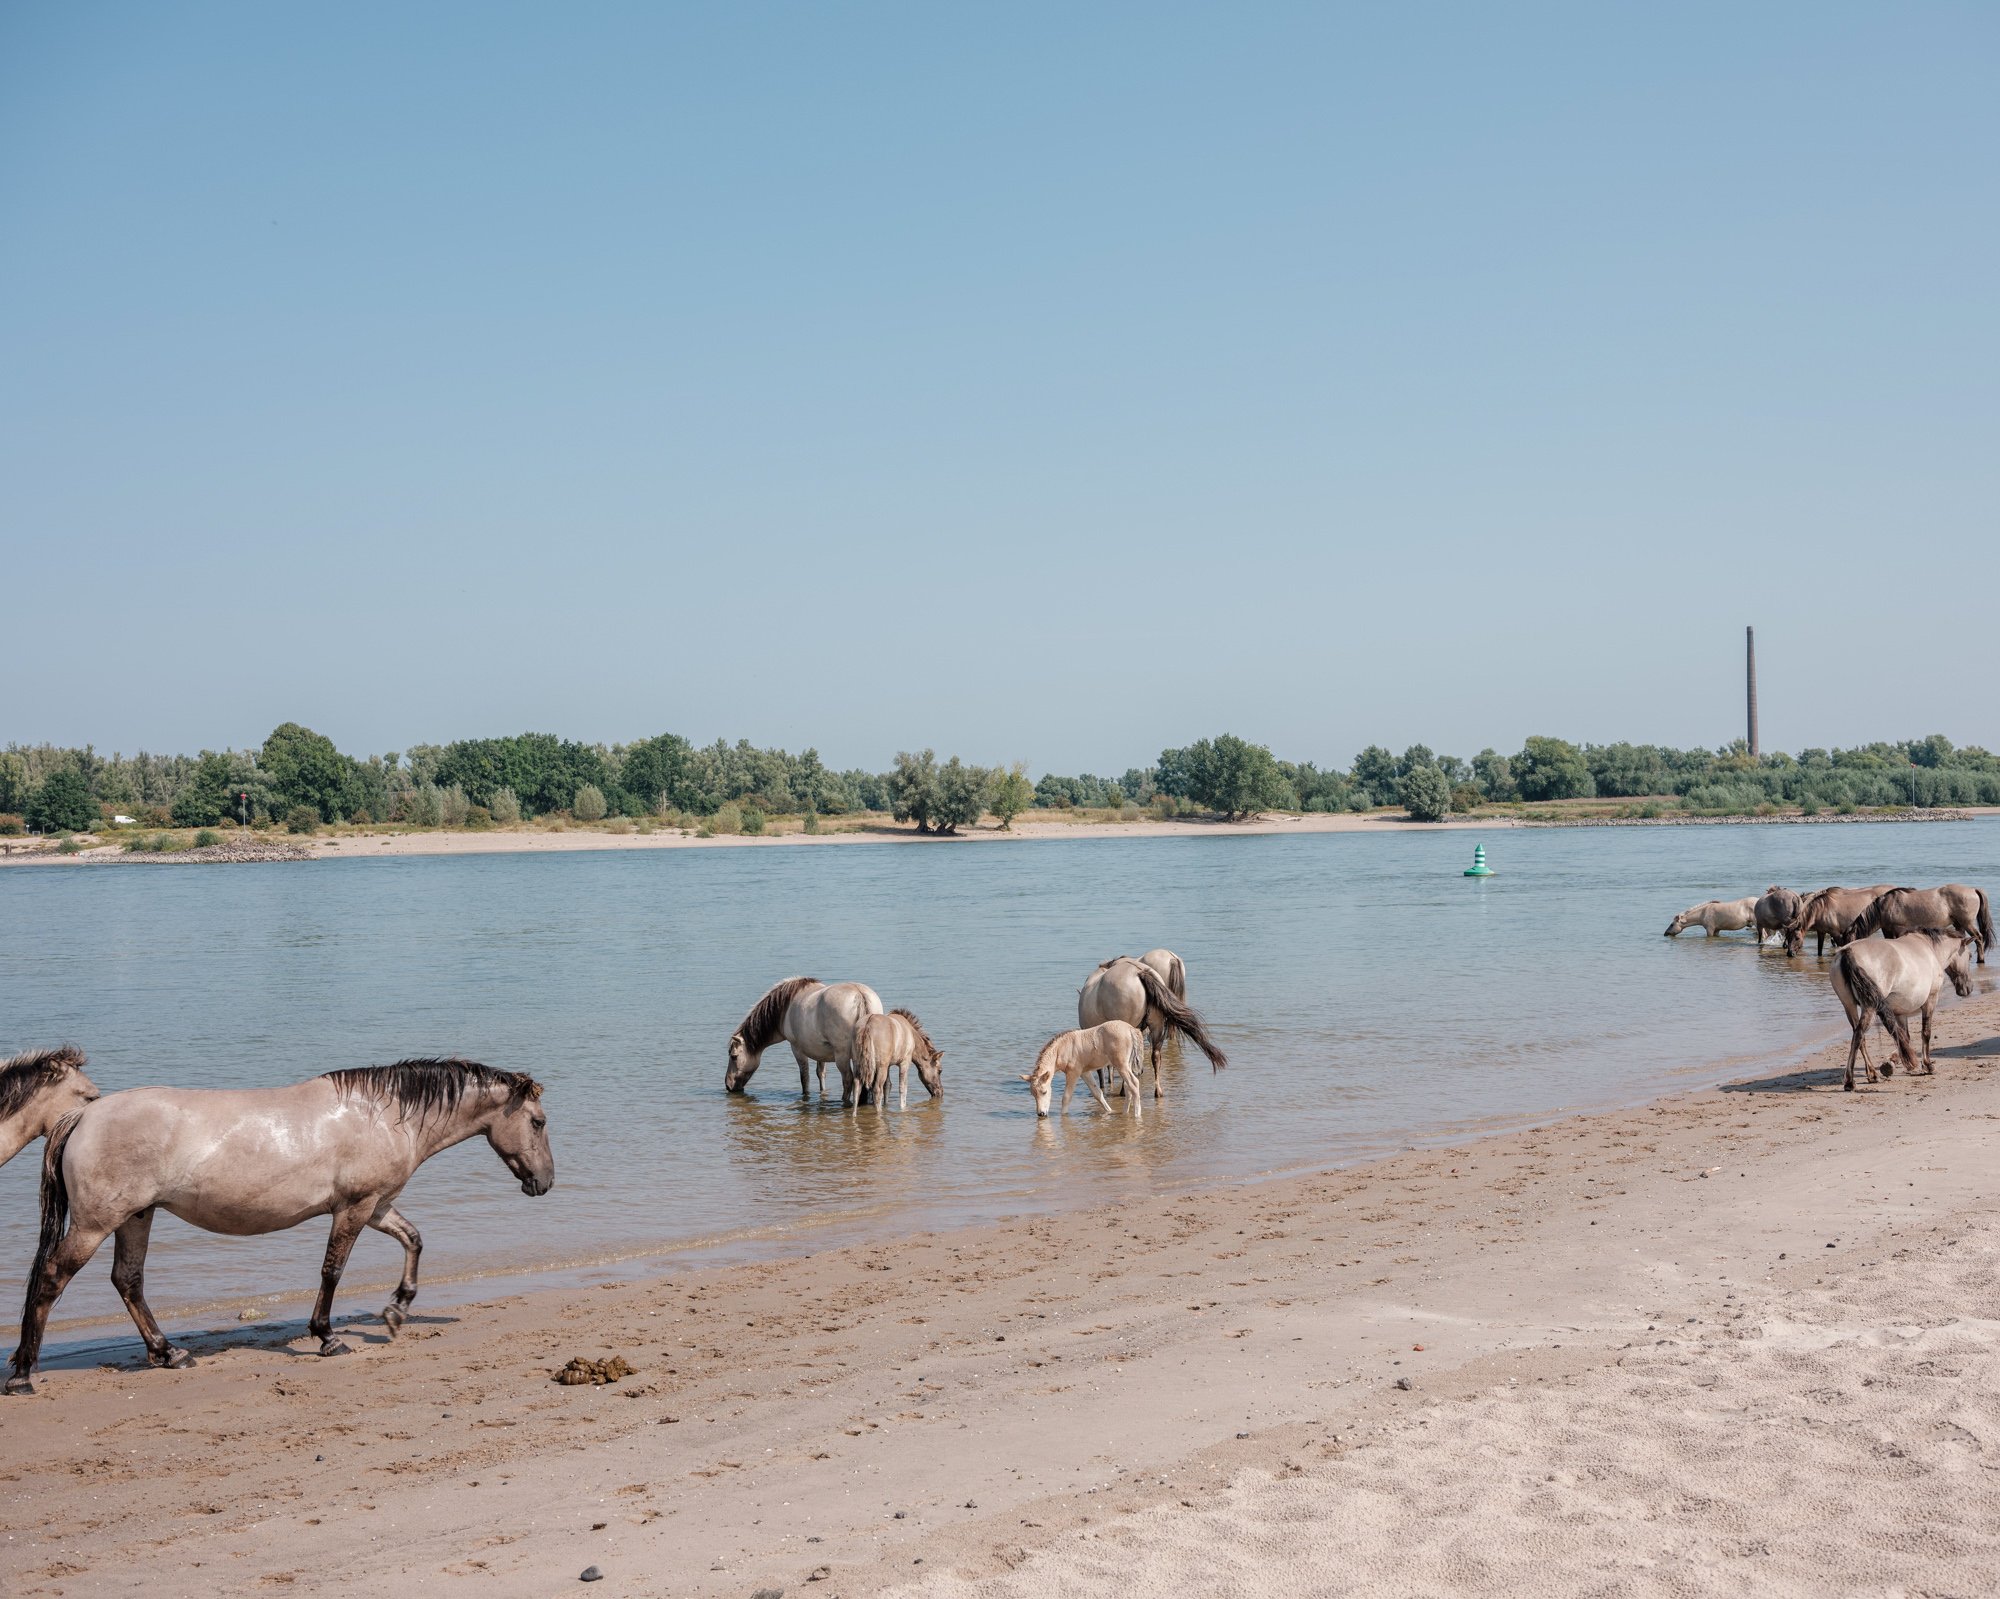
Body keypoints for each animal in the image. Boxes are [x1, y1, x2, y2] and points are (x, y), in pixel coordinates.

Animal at [7, 1055, 552, 1391]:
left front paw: (396, 1311)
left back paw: (169, 1353)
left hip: (135, 1217)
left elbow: (414, 1241)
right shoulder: (354, 1209)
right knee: (53, 1278)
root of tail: (81, 1118)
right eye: (539, 1122)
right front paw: (328, 1337)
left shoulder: (376, 1206)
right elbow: (332, 1272)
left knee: (128, 1280)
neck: (381, 1115)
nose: (544, 1181)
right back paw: (23, 1374)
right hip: (95, 1224)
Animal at [716, 975, 880, 1103]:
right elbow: (820, 1074)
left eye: (734, 1056)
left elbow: (804, 1078)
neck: (784, 1008)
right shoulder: (820, 1052)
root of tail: (860, 995)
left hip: (842, 1056)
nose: (728, 1086)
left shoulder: (796, 1049)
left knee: (848, 1080)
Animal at [1832, 887, 1992, 963]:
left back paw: (1981, 960)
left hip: (1967, 922)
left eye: (1847, 941)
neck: (1885, 906)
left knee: (1978, 937)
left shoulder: (1898, 929)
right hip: (1959, 924)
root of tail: (1973, 890)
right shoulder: (1888, 929)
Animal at [1832, 931, 1976, 1095]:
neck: (1930, 948)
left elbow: (1904, 1037)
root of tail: (1847, 951)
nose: (1968, 988)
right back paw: (1850, 1082)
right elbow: (1925, 1033)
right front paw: (1927, 1065)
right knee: (1858, 1035)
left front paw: (1892, 1062)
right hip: (1869, 1007)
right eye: (1970, 956)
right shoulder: (1931, 1001)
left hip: (1849, 1006)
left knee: (1860, 1038)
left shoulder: (1900, 1014)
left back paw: (1872, 1074)